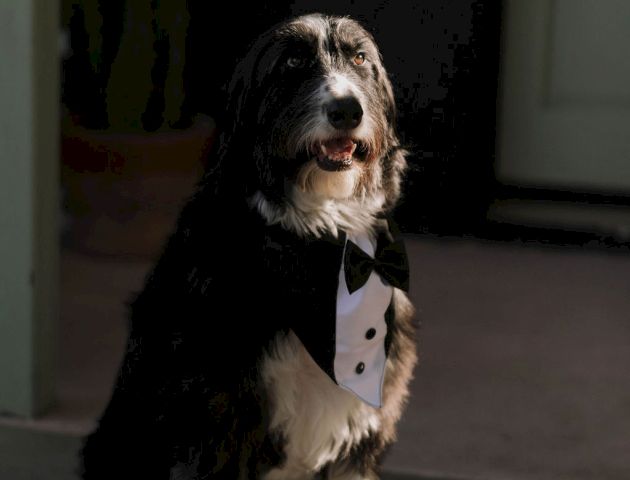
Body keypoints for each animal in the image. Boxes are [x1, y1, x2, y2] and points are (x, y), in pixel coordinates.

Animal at [81, 12, 418, 480]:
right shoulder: (214, 428)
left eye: (360, 58)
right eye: (293, 61)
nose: (347, 110)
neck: (319, 243)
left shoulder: (357, 440)